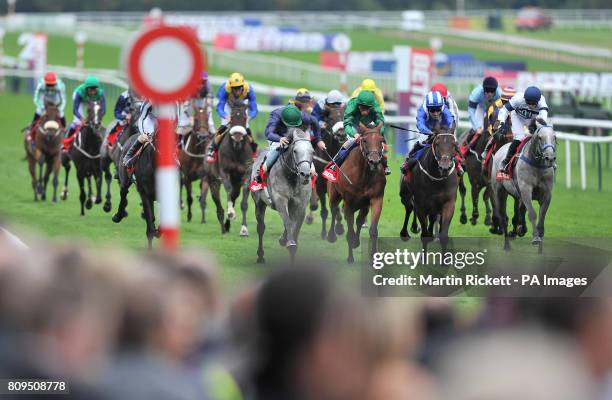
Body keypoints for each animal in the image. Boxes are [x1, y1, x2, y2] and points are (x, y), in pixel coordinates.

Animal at [202, 101, 252, 236]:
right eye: (232, 117)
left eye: (244, 118)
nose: (238, 137)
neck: (237, 150)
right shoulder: (224, 172)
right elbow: (228, 189)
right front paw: (230, 213)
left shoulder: (246, 175)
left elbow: (244, 203)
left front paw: (244, 229)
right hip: (213, 180)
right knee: (218, 204)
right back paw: (223, 228)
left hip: (236, 183)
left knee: (234, 196)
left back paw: (227, 225)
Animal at [310, 104, 344, 239]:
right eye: (330, 119)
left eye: (344, 117)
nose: (341, 134)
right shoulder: (320, 182)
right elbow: (324, 211)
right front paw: (325, 234)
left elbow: (335, 207)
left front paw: (337, 230)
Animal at [328, 123, 384, 264]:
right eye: (364, 140)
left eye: (382, 140)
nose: (374, 162)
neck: (363, 175)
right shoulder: (349, 202)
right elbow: (350, 232)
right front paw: (350, 258)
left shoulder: (376, 199)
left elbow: (373, 230)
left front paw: (374, 257)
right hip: (334, 195)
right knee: (334, 209)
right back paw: (331, 235)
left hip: (364, 205)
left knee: (359, 221)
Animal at [490, 124, 556, 253]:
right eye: (540, 137)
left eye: (554, 137)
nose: (550, 158)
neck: (537, 166)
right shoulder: (526, 190)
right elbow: (532, 214)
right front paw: (535, 238)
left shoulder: (546, 194)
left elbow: (541, 218)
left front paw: (540, 248)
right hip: (499, 192)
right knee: (503, 217)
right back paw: (507, 245)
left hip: (517, 195)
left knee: (520, 210)